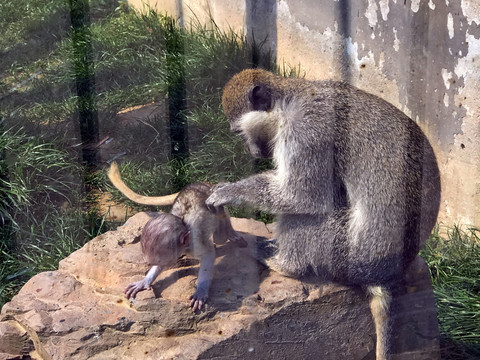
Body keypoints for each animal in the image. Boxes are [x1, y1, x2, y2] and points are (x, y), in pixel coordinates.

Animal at [107, 162, 246, 310]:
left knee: (220, 233)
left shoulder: (195, 243)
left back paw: (227, 227)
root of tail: (202, 183)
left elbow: (208, 254)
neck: (184, 227)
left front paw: (200, 291)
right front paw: (145, 280)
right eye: (159, 262)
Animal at [204, 69, 440, 358]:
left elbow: (301, 197)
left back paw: (286, 264)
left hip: (344, 252)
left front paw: (230, 191)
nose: (252, 151)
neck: (290, 99)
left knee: (307, 213)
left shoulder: (306, 134)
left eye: (239, 132)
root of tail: (381, 275)